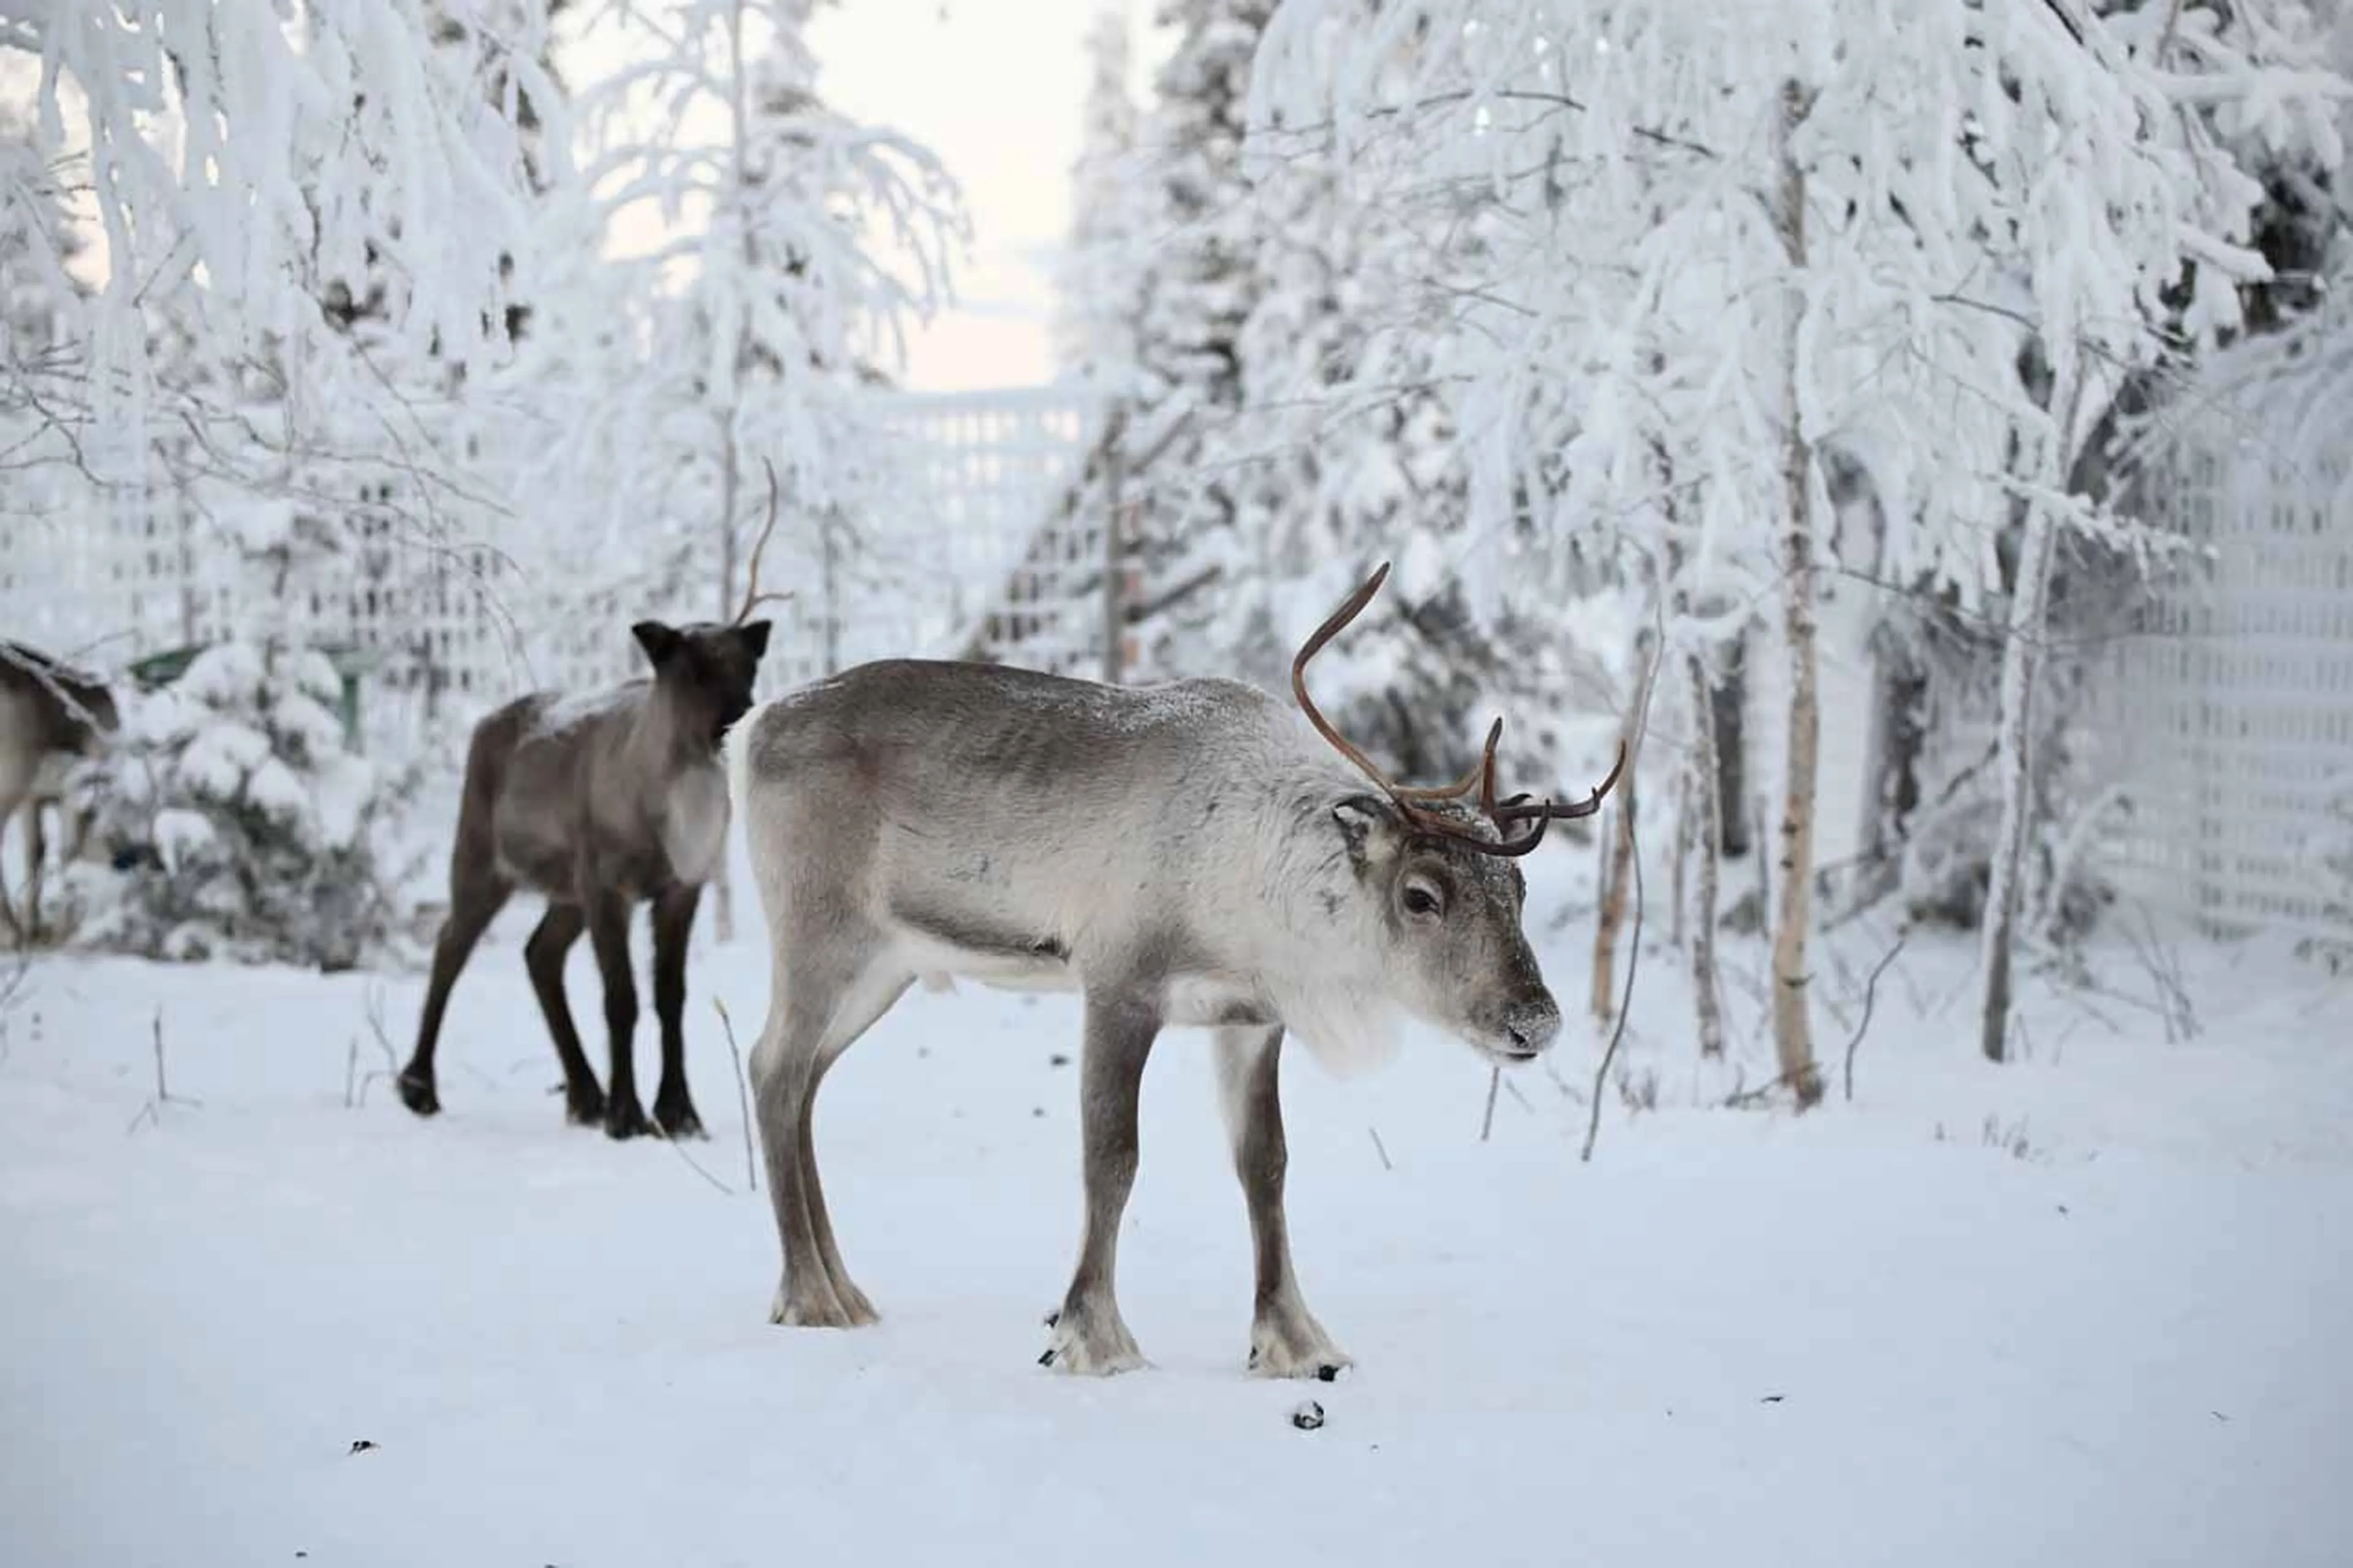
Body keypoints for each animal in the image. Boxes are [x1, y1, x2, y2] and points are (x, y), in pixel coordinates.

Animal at [0, 641, 122, 945]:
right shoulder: (71, 794)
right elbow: (68, 853)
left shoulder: (35, 799)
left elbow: (37, 852)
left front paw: (34, 925)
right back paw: (10, 931)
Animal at [397, 492, 788, 1140]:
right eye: (693, 671)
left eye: (748, 668)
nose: (736, 721)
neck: (674, 816)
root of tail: (485, 723)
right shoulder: (610, 885)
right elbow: (621, 998)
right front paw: (629, 1115)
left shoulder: (681, 887)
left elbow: (671, 997)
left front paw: (678, 1112)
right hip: (484, 857)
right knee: (451, 944)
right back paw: (419, 1087)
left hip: (566, 889)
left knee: (539, 954)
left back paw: (584, 1094)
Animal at [727, 561, 1625, 1379]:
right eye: (1421, 894)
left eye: (1516, 888)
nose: (1535, 1018)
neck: (1254, 879)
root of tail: (748, 730)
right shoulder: (1119, 983)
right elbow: (1112, 1155)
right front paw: (1094, 1338)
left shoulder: (1253, 1018)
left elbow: (1266, 1165)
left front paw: (1295, 1341)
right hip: (819, 933)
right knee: (773, 1067)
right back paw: (809, 1295)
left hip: (888, 965)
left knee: (803, 1081)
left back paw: (845, 1289)